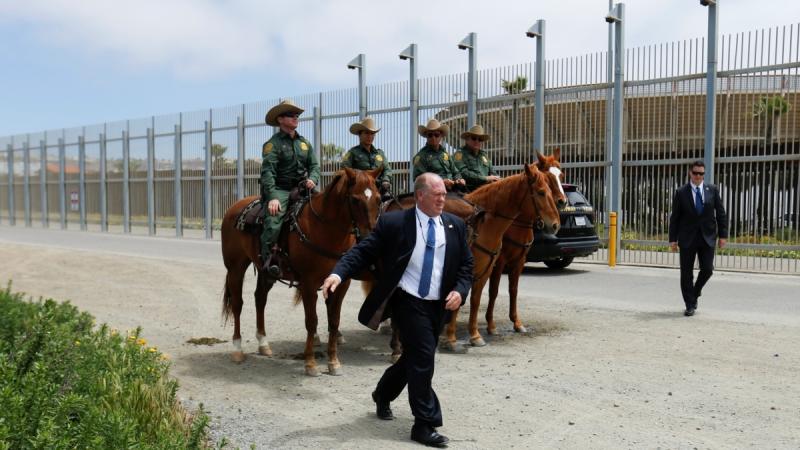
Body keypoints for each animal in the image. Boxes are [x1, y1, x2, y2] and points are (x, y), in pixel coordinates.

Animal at [219, 168, 382, 376]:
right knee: (238, 304)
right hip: (235, 268)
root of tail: (235, 207)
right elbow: (312, 322)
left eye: (378, 198)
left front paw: (334, 362)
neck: (324, 229)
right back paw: (237, 349)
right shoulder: (308, 284)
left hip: (266, 272)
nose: (370, 237)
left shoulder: (340, 284)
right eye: (355, 199)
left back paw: (263, 344)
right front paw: (310, 363)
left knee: (260, 299)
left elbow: (334, 322)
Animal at [484, 149, 564, 336]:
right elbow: (493, 290)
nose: (563, 202)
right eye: (548, 178)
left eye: (561, 175)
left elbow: (513, 290)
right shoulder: (499, 261)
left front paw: (516, 322)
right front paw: (490, 324)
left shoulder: (519, 260)